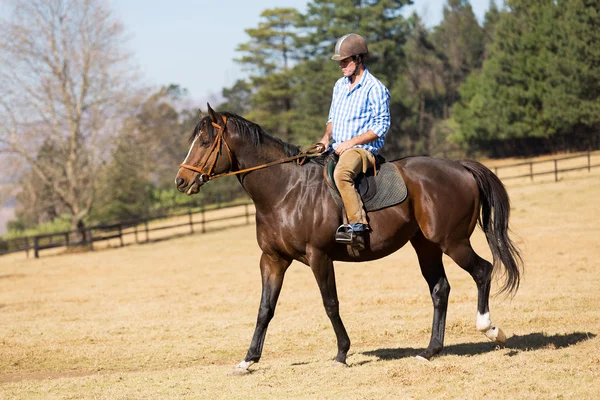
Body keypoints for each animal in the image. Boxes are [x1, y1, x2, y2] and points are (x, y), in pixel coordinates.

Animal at [173, 104, 520, 374]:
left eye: (205, 141)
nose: (181, 181)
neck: (284, 191)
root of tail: (459, 166)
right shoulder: (273, 260)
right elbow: (265, 309)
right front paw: (248, 360)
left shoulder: (318, 256)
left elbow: (330, 304)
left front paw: (341, 353)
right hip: (426, 246)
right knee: (440, 289)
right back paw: (430, 351)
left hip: (452, 241)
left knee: (482, 271)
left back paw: (490, 330)